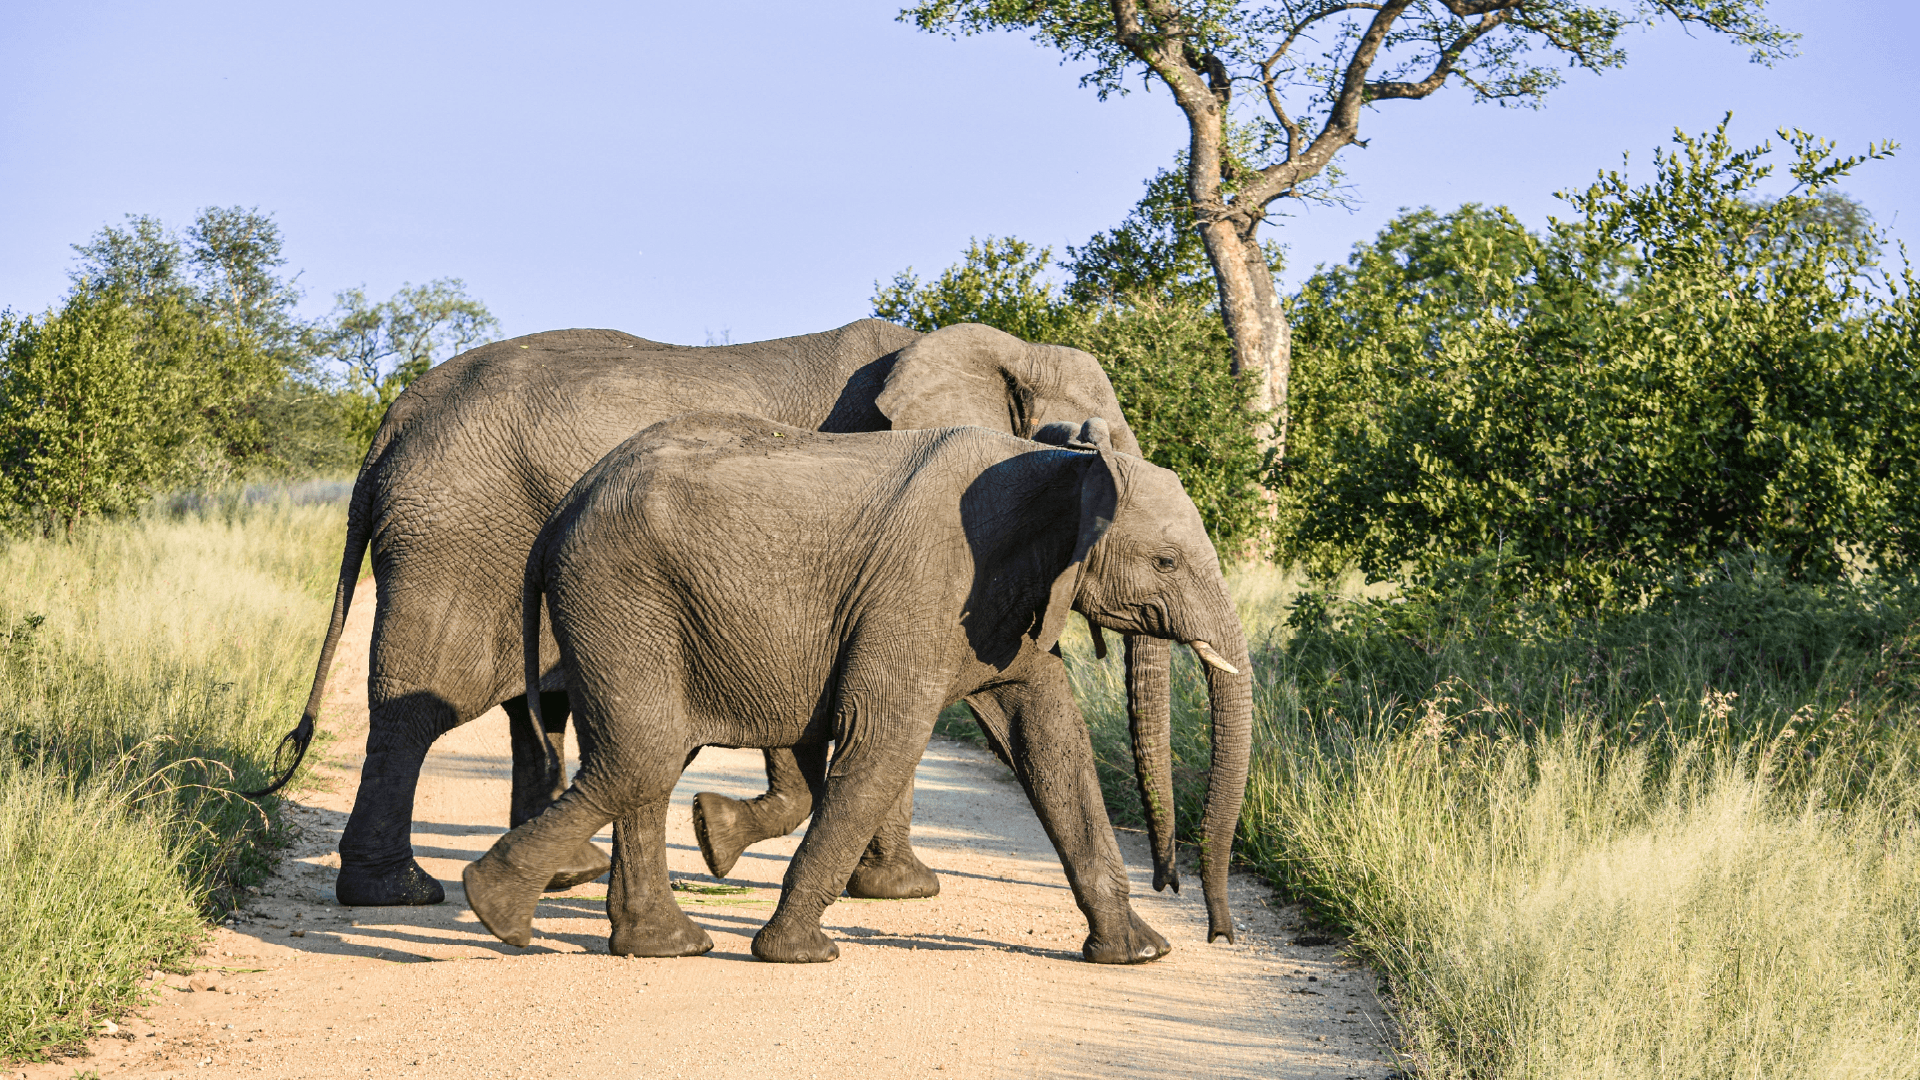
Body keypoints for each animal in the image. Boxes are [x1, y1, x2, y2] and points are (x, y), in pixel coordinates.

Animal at [252, 318, 1194, 910]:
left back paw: (563, 875)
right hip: (455, 535)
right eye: (1096, 443)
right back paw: (399, 892)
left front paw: (870, 880)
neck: (988, 349)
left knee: (528, 710)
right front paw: (901, 889)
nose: (1171, 886)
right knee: (422, 705)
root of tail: (392, 420)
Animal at [459, 411, 1254, 964]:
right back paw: (495, 910)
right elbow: (884, 742)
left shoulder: (1013, 604)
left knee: (647, 760)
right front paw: (797, 955)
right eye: (1168, 561)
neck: (1063, 466)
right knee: (643, 754)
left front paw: (1139, 953)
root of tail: (565, 507)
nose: (1218, 932)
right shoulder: (925, 587)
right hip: (618, 591)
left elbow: (1052, 743)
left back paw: (663, 942)